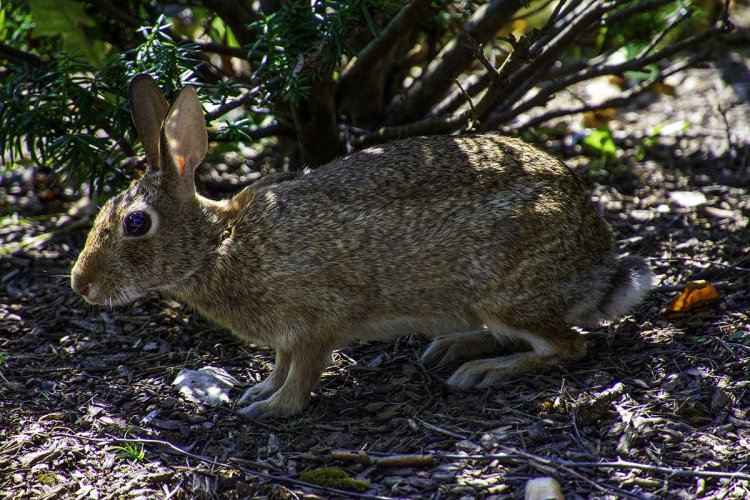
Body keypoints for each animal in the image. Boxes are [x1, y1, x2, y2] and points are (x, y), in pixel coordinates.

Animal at [73, 74, 656, 418]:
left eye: (136, 223)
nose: (81, 285)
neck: (219, 244)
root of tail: (600, 266)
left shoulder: (317, 321)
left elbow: (303, 371)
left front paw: (271, 410)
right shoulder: (287, 335)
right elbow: (281, 363)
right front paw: (259, 391)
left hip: (507, 293)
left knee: (568, 346)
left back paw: (481, 372)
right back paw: (451, 348)